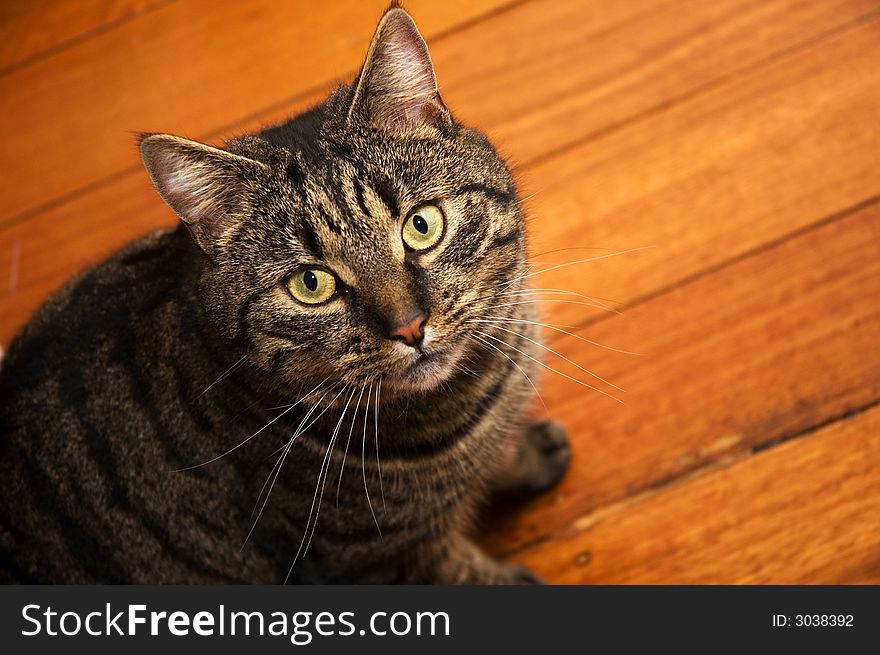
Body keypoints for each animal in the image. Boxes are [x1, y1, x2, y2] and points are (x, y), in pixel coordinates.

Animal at [0, 5, 572, 588]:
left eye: (421, 225)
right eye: (311, 284)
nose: (409, 326)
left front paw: (528, 452)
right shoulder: (382, 563)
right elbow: (463, 574)